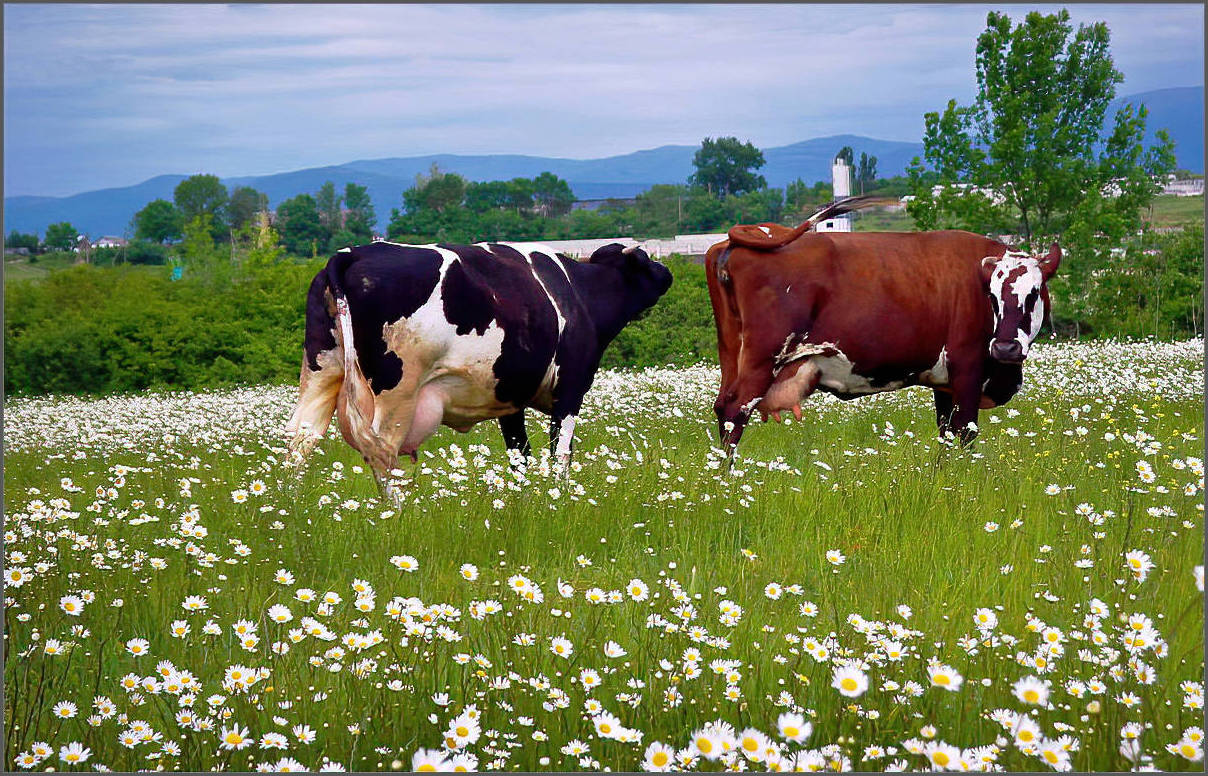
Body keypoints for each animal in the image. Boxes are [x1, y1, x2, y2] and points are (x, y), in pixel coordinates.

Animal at [286, 239, 676, 485]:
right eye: (645, 259)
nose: (667, 270)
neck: (578, 294)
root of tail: (351, 255)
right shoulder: (570, 390)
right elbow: (560, 455)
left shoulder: (511, 398)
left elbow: (520, 456)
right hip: (396, 394)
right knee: (380, 452)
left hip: (321, 372)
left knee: (299, 442)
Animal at [705, 203, 1063, 449]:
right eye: (991, 295)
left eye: (1034, 292)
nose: (1005, 347)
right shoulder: (967, 373)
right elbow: (963, 434)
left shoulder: (944, 384)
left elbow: (945, 437)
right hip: (763, 359)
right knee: (736, 412)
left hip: (731, 355)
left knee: (722, 408)